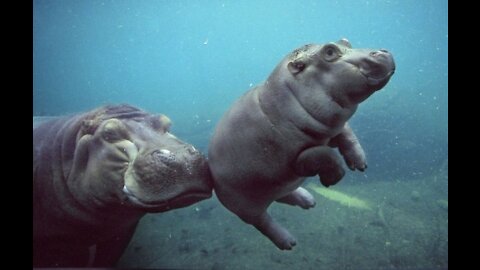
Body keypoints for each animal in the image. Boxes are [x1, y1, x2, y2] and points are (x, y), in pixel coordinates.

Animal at [208, 39, 396, 250]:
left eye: (345, 41)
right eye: (329, 51)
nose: (382, 52)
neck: (282, 97)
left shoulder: (333, 127)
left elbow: (348, 135)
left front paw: (360, 164)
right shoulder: (296, 160)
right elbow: (325, 155)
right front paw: (332, 180)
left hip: (273, 187)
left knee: (283, 195)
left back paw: (308, 201)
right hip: (245, 207)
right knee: (263, 222)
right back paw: (288, 242)